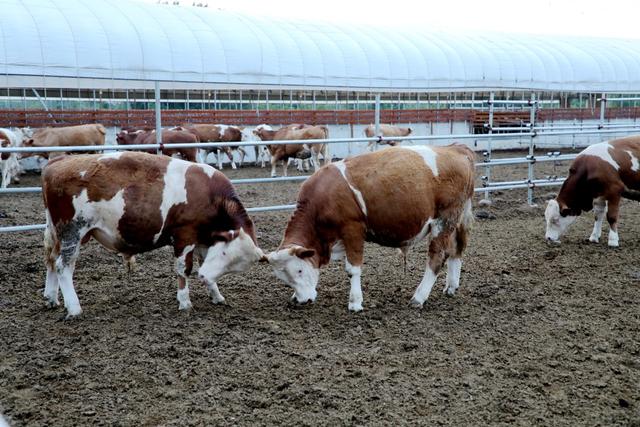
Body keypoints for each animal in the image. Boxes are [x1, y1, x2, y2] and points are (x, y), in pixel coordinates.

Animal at [42, 152, 262, 320]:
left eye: (234, 266)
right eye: (225, 254)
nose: (205, 277)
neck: (210, 195)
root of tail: (58, 161)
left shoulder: (202, 239)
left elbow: (202, 261)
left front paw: (216, 295)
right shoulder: (185, 236)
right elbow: (184, 269)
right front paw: (185, 302)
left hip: (57, 233)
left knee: (51, 260)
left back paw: (51, 298)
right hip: (72, 232)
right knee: (63, 266)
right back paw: (74, 308)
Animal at [264, 145, 476, 312]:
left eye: (299, 270)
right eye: (284, 278)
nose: (303, 301)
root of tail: (456, 149)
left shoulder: (352, 230)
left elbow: (353, 269)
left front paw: (355, 302)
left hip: (444, 220)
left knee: (437, 256)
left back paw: (419, 297)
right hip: (456, 220)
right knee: (456, 250)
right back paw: (451, 286)